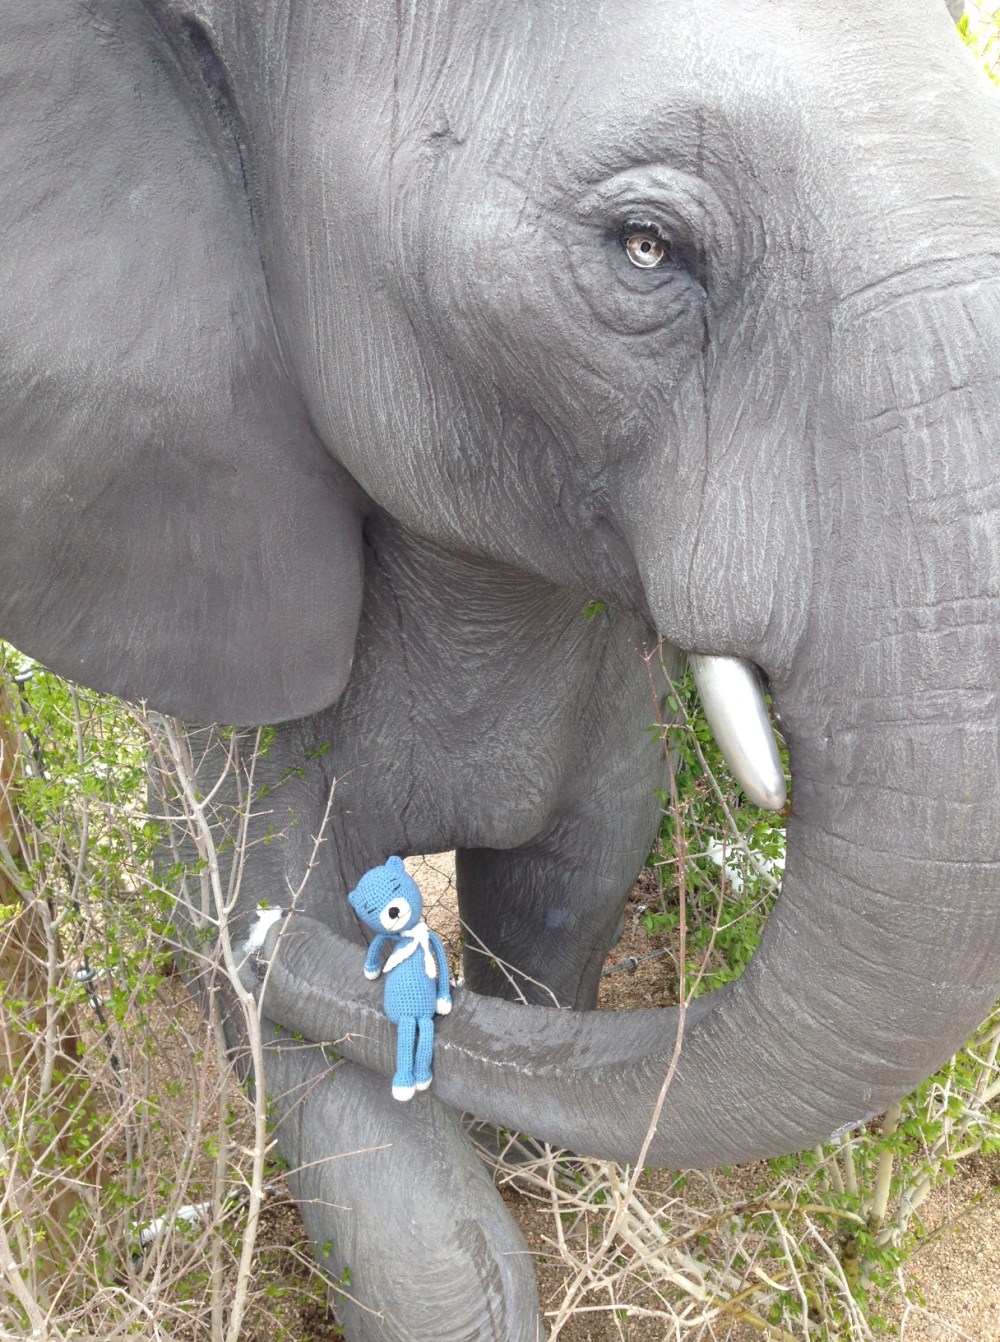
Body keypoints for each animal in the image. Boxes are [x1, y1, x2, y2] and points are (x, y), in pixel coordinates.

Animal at [2, 1, 999, 1338]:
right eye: (646, 247)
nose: (266, 939)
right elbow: (313, 1064)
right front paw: (258, 943)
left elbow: (566, 887)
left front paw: (532, 1166)